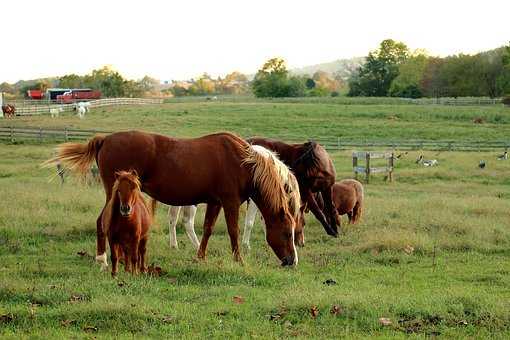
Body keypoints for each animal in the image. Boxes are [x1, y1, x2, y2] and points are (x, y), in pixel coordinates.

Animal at [45, 131, 300, 266]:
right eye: (287, 233)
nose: (292, 261)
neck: (242, 161)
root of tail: (106, 139)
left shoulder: (215, 202)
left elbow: (207, 229)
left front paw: (200, 256)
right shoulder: (229, 203)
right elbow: (233, 231)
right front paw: (238, 259)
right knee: (102, 221)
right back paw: (102, 259)